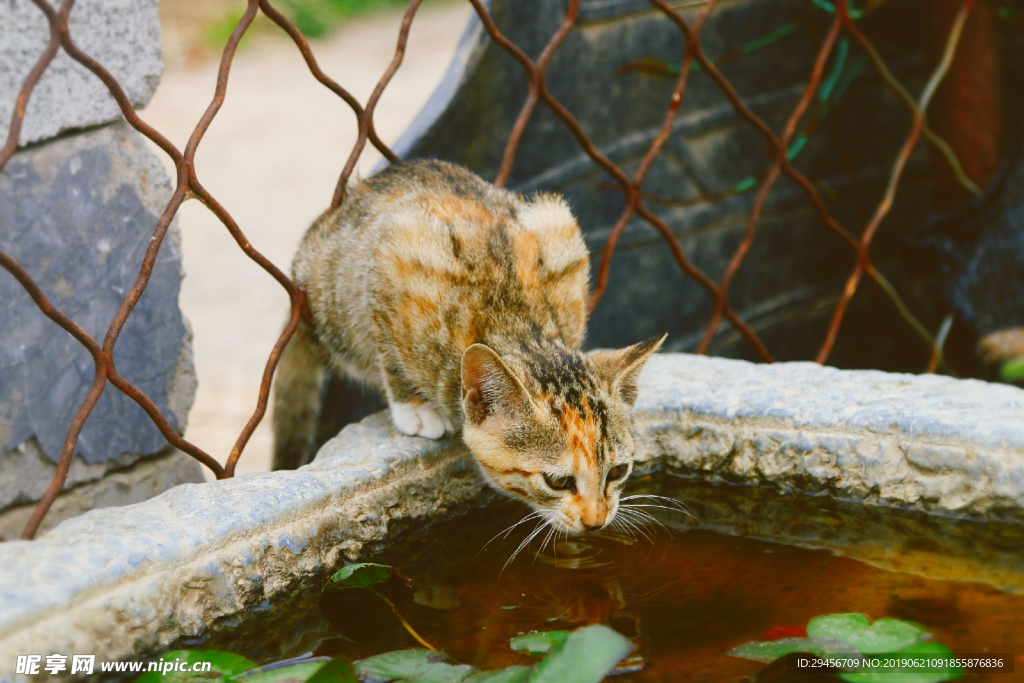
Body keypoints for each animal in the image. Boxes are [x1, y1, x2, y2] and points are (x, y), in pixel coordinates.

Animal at [270, 158, 663, 532]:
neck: (517, 326)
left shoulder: (564, 247)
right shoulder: (396, 261)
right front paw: (412, 405)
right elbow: (390, 345)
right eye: (558, 481)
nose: (596, 522)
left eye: (618, 472)